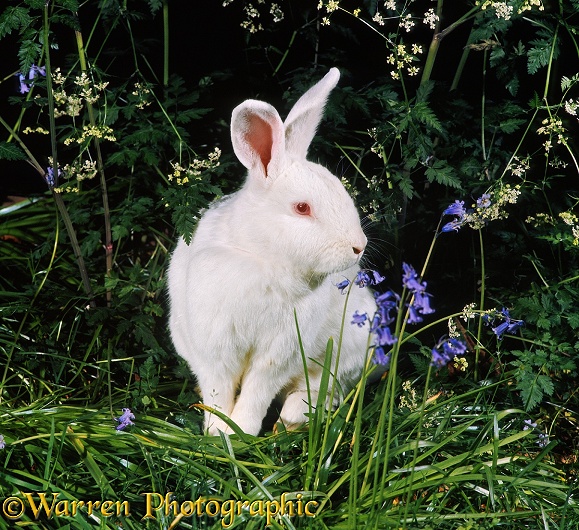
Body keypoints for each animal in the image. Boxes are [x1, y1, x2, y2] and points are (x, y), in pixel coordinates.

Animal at [167, 68, 376, 436]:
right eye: (302, 208)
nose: (358, 246)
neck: (260, 257)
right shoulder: (214, 346)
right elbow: (219, 388)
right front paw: (219, 432)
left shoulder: (282, 351)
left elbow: (258, 389)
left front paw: (241, 431)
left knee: (329, 386)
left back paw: (293, 416)